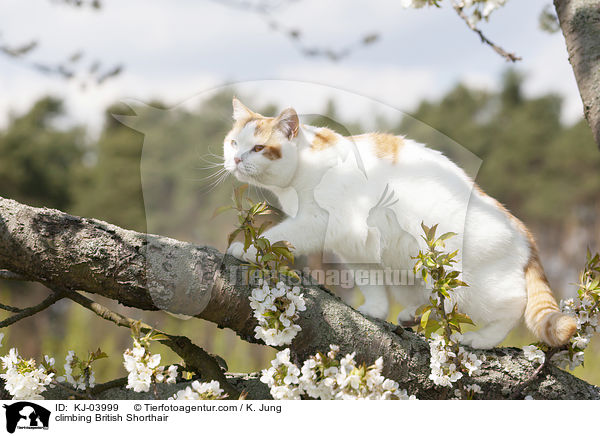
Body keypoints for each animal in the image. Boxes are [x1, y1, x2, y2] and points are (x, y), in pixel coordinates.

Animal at [224, 97, 576, 350]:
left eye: (258, 148)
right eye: (233, 143)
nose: (237, 159)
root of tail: (523, 229)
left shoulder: (317, 221)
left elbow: (277, 236)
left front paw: (245, 249)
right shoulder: (354, 245)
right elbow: (369, 281)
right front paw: (375, 310)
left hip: (470, 282)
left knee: (511, 305)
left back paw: (482, 339)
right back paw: (411, 316)